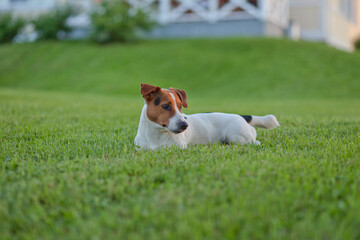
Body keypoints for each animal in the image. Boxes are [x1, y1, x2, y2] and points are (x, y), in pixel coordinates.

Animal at [134, 83, 278, 149]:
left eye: (180, 106)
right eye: (165, 106)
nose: (185, 125)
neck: (155, 135)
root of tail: (241, 116)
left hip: (238, 137)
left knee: (255, 142)